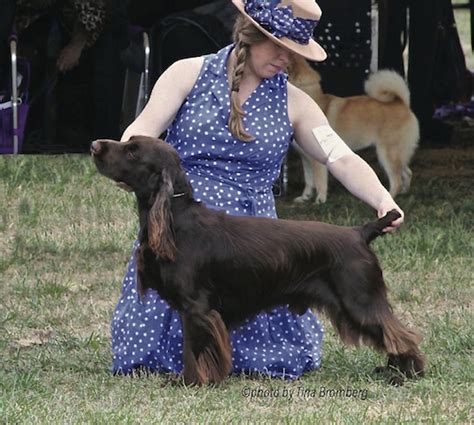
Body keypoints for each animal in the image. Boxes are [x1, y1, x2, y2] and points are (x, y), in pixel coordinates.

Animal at [288, 56, 418, 204]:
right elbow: (309, 180)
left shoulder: (317, 160)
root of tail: (402, 103)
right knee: (406, 173)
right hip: (398, 153)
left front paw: (320, 201)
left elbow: (320, 181)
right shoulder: (305, 158)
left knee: (396, 180)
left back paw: (388, 198)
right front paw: (305, 197)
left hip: (387, 152)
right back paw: (403, 193)